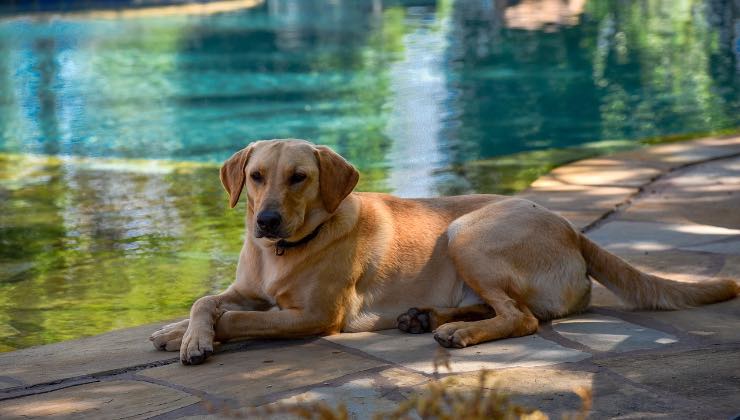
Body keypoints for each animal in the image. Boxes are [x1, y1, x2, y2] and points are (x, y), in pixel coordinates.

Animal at [147, 139, 736, 364]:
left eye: (299, 178)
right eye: (256, 177)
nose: (266, 222)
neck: (282, 255)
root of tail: (571, 227)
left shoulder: (314, 316)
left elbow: (240, 319)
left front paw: (198, 339)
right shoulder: (246, 288)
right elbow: (206, 300)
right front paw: (180, 331)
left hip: (465, 234)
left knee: (521, 318)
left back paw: (457, 333)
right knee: (505, 308)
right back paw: (426, 317)